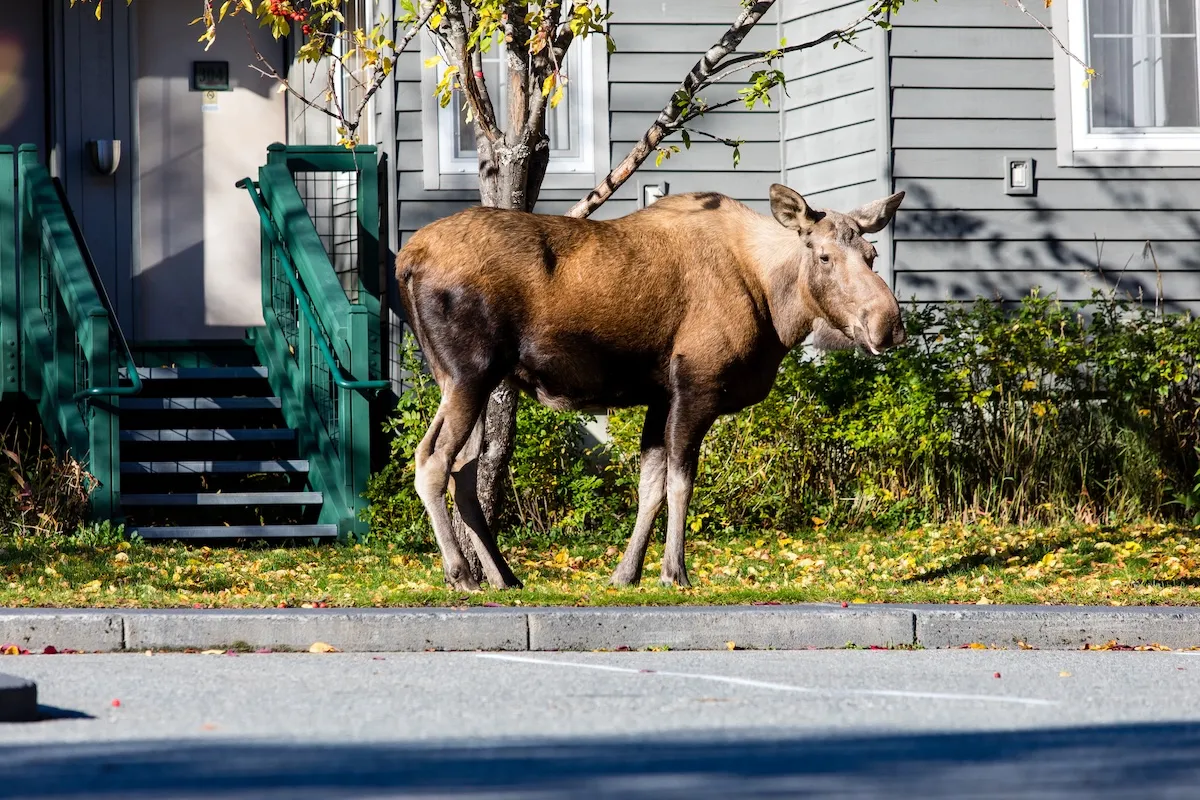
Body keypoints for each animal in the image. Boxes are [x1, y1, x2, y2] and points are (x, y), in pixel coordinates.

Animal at [396, 184, 907, 592]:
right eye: (824, 256)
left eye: (872, 255)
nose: (888, 325)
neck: (773, 304)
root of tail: (406, 261)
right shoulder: (697, 387)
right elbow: (681, 484)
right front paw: (674, 572)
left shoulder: (661, 397)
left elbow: (650, 486)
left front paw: (627, 573)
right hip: (469, 374)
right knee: (432, 460)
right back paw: (461, 573)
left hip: (473, 382)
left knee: (463, 472)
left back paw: (503, 576)